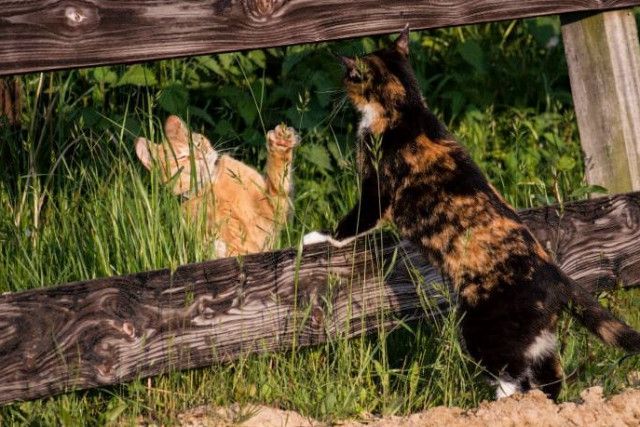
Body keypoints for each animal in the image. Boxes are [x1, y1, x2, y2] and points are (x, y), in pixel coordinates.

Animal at [136, 115, 298, 258]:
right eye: (181, 158)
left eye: (197, 144)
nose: (199, 156)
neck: (212, 184)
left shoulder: (275, 206)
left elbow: (278, 176)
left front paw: (281, 143)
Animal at [328, 28, 640, 400]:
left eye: (349, 74)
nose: (338, 86)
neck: (406, 105)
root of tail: (556, 275)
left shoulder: (377, 187)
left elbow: (356, 220)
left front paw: (319, 238)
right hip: (539, 337)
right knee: (548, 377)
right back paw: (541, 406)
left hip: (483, 327)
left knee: (511, 372)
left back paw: (499, 404)